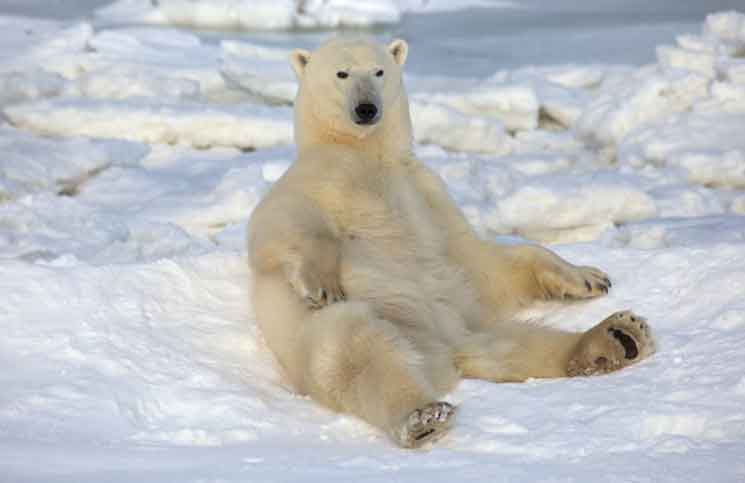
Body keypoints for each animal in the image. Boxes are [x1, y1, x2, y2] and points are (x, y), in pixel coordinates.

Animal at [247, 37, 655, 448]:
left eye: (379, 71)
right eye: (341, 73)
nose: (366, 109)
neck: (364, 153)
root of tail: (449, 354)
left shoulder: (425, 190)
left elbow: (476, 262)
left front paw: (589, 277)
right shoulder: (323, 176)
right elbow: (277, 221)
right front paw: (322, 284)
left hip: (473, 328)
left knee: (523, 342)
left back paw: (618, 337)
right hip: (366, 329)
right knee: (352, 348)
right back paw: (422, 416)